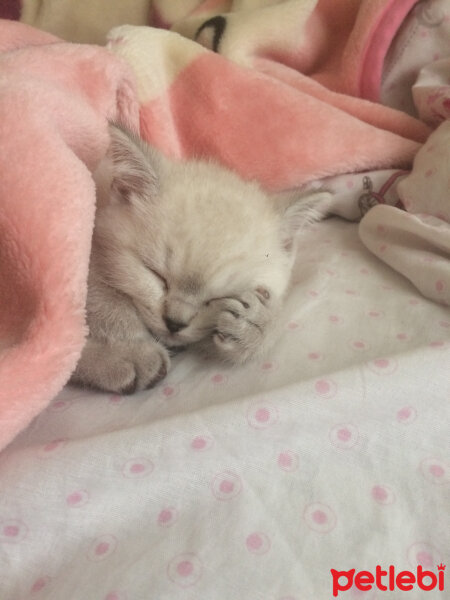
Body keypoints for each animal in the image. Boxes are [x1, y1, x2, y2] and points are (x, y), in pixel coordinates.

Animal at [71, 125, 330, 394]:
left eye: (215, 299)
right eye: (157, 275)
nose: (174, 323)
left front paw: (257, 325)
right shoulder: (84, 250)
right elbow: (105, 299)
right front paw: (132, 351)